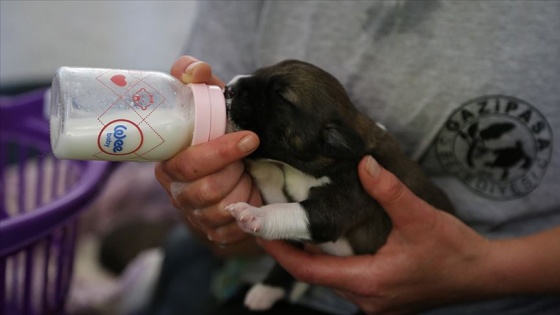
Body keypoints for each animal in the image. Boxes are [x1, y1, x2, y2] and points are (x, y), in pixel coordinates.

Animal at [223, 60, 456, 312]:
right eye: (258, 72)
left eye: (282, 97)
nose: (229, 89)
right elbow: (274, 187)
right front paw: (256, 164)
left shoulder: (335, 208)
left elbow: (288, 211)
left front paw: (253, 214)